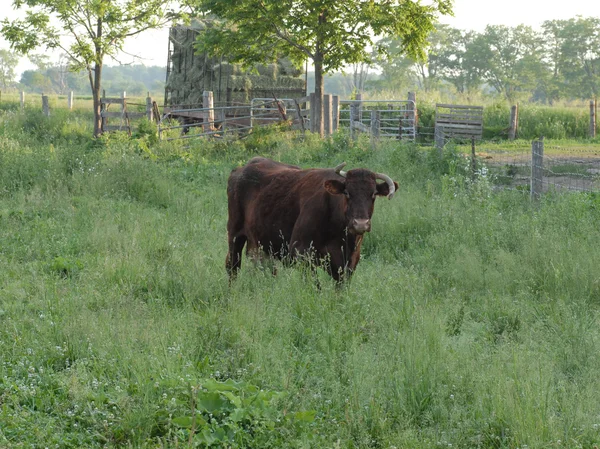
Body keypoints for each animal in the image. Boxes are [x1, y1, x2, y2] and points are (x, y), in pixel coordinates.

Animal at [225, 158, 398, 282]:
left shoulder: (348, 263)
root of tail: (240, 169)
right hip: (235, 234)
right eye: (347, 193)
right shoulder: (300, 253)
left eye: (373, 194)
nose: (360, 224)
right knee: (232, 266)